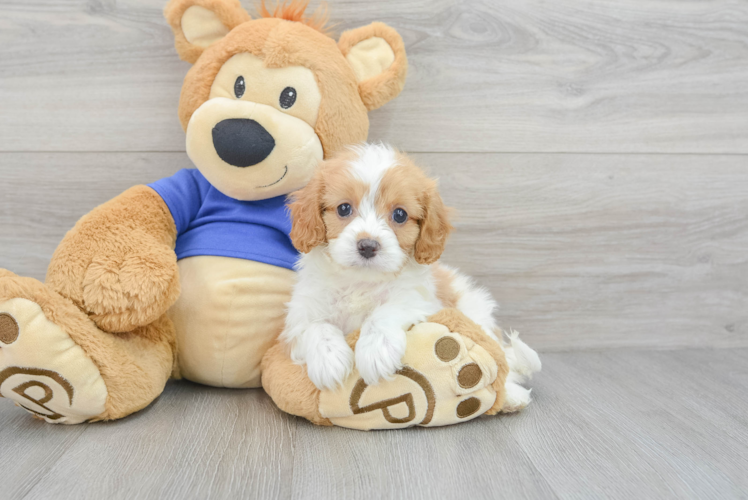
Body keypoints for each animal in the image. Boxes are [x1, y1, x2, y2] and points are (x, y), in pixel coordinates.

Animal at [280, 143, 536, 412]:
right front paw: (329, 359)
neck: (362, 281)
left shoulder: (421, 301)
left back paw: (511, 395)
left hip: (476, 314)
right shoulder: (299, 315)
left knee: (501, 361)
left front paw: (375, 349)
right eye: (344, 208)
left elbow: (386, 311)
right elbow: (314, 326)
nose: (368, 245)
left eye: (400, 215)